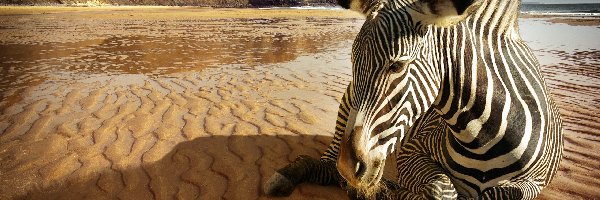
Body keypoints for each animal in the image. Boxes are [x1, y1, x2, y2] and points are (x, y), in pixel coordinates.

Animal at [262, 0, 564, 198]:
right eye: (353, 62)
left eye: (397, 66)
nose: (349, 167)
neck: (484, 137)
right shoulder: (412, 150)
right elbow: (439, 189)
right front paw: (385, 192)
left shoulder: (534, 183)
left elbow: (498, 194)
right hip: (347, 107)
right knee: (326, 166)